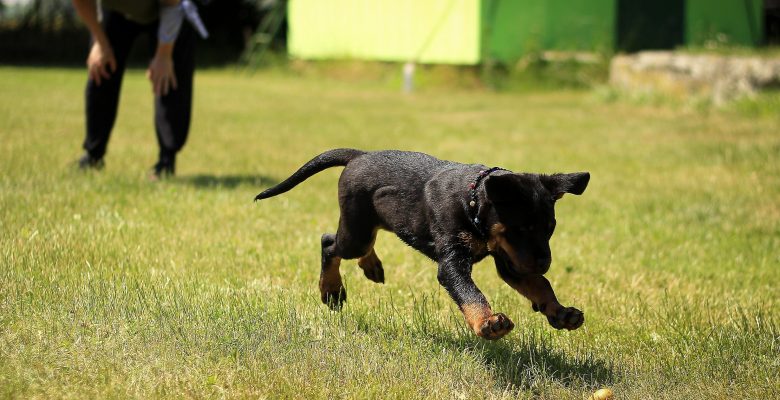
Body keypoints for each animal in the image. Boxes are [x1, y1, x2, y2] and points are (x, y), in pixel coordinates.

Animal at [256, 148, 592, 340]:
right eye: (521, 229)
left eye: (550, 229)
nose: (545, 262)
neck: (471, 201)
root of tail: (359, 155)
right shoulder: (454, 262)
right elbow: (470, 293)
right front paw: (487, 323)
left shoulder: (511, 261)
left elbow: (540, 285)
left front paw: (561, 312)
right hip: (356, 231)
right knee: (330, 243)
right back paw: (332, 290)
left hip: (372, 222)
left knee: (362, 243)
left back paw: (371, 267)